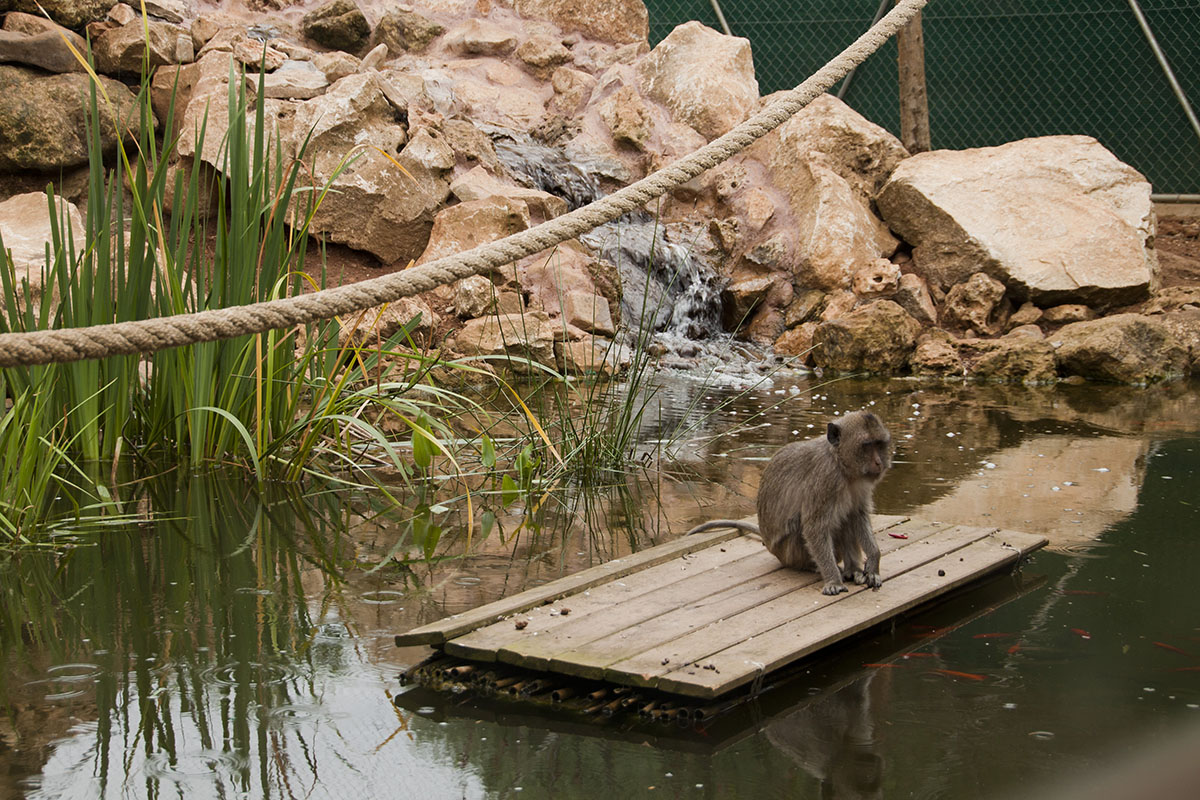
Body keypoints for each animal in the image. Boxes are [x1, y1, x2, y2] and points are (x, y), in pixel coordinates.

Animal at [685, 410, 893, 596]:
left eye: (879, 444)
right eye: (867, 445)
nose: (879, 463)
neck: (840, 463)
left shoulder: (859, 483)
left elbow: (858, 515)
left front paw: (873, 563)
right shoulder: (824, 480)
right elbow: (814, 528)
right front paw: (833, 580)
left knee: (847, 517)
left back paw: (853, 570)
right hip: (789, 553)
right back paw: (817, 568)